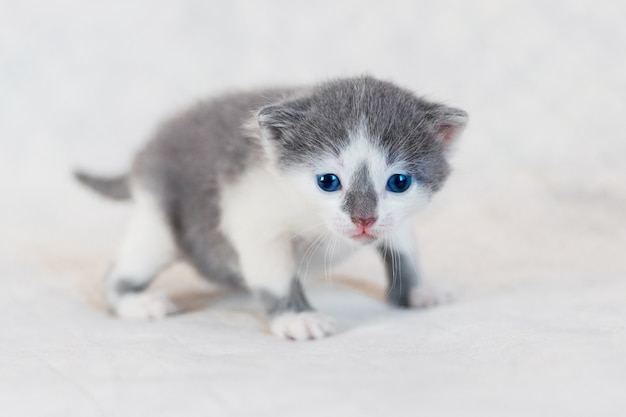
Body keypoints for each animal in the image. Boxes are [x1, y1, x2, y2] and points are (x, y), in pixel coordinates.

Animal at [75, 76, 466, 340]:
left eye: (399, 182)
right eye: (328, 181)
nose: (363, 219)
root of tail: (144, 154)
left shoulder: (397, 220)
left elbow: (403, 248)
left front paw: (419, 291)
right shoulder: (252, 216)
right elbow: (275, 275)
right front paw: (297, 318)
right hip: (158, 221)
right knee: (120, 270)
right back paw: (137, 302)